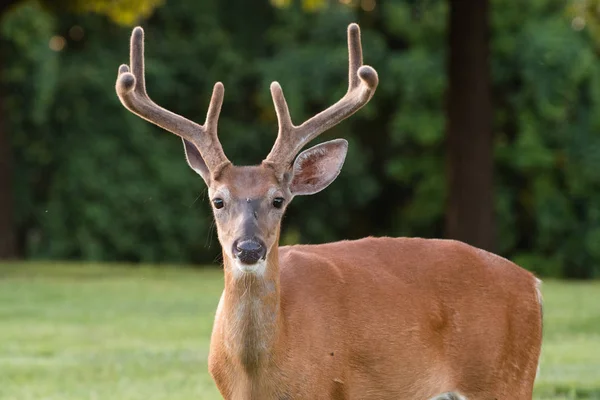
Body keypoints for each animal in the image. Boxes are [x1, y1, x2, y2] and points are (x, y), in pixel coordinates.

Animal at [116, 24, 544, 400]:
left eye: (278, 200)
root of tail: (534, 285)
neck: (259, 374)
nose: (249, 248)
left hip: (504, 377)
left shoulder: (327, 389)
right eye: (218, 200)